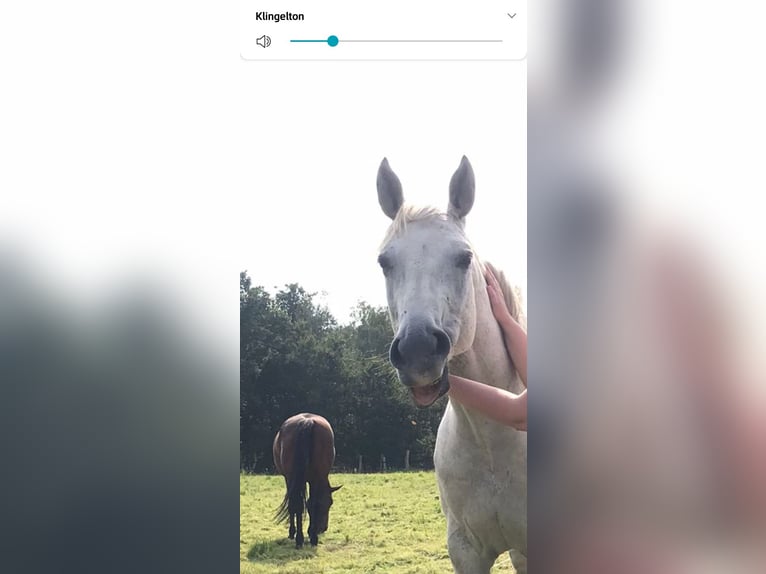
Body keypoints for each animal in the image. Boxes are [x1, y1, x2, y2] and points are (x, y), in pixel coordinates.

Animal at [272, 414, 340, 548]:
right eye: (330, 503)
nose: (323, 528)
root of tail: (307, 421)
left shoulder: (290, 480)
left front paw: (293, 532)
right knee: (310, 503)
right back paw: (309, 538)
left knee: (299, 504)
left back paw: (301, 538)